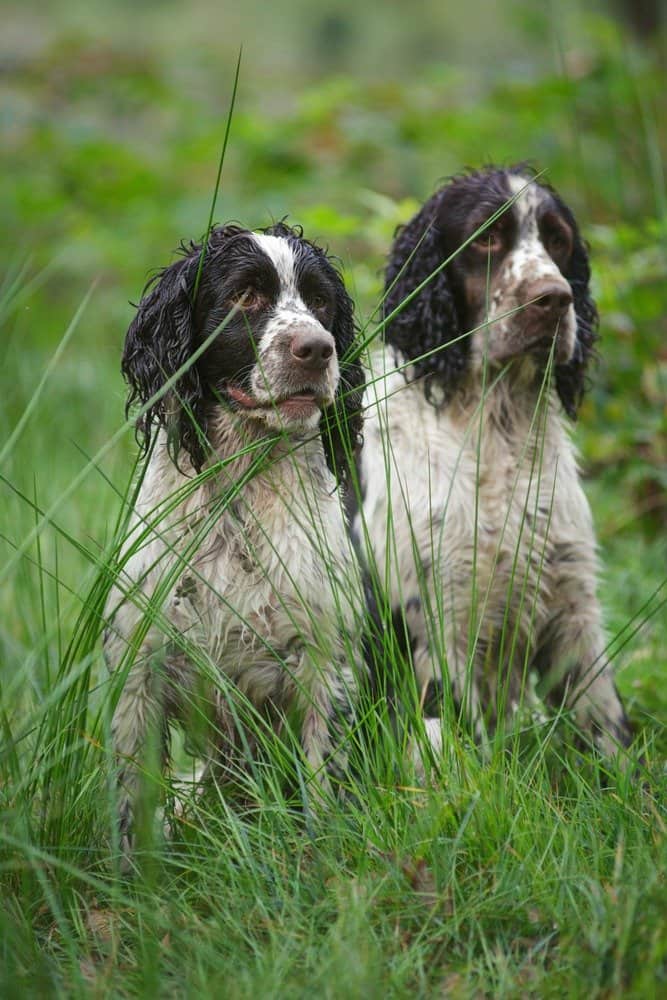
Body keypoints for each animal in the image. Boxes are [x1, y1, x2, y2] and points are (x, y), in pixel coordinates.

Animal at [104, 221, 366, 852]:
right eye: (246, 296)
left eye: (321, 303)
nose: (317, 349)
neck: (236, 502)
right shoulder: (136, 669)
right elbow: (131, 809)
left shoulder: (328, 667)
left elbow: (324, 792)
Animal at [354, 166, 632, 756]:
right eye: (485, 239)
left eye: (558, 240)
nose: (555, 299)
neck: (496, 430)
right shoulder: (439, 615)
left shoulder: (573, 604)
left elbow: (608, 728)